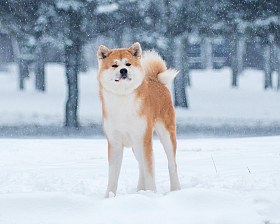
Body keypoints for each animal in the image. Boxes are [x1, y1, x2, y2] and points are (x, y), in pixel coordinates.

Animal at [98, 43, 182, 197]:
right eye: (114, 65)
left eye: (128, 64)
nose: (123, 70)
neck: (123, 99)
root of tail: (156, 81)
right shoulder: (114, 142)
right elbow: (113, 175)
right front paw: (109, 196)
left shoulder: (144, 139)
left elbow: (149, 171)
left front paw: (151, 193)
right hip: (136, 145)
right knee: (142, 165)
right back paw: (140, 190)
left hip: (165, 135)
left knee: (171, 163)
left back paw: (175, 189)